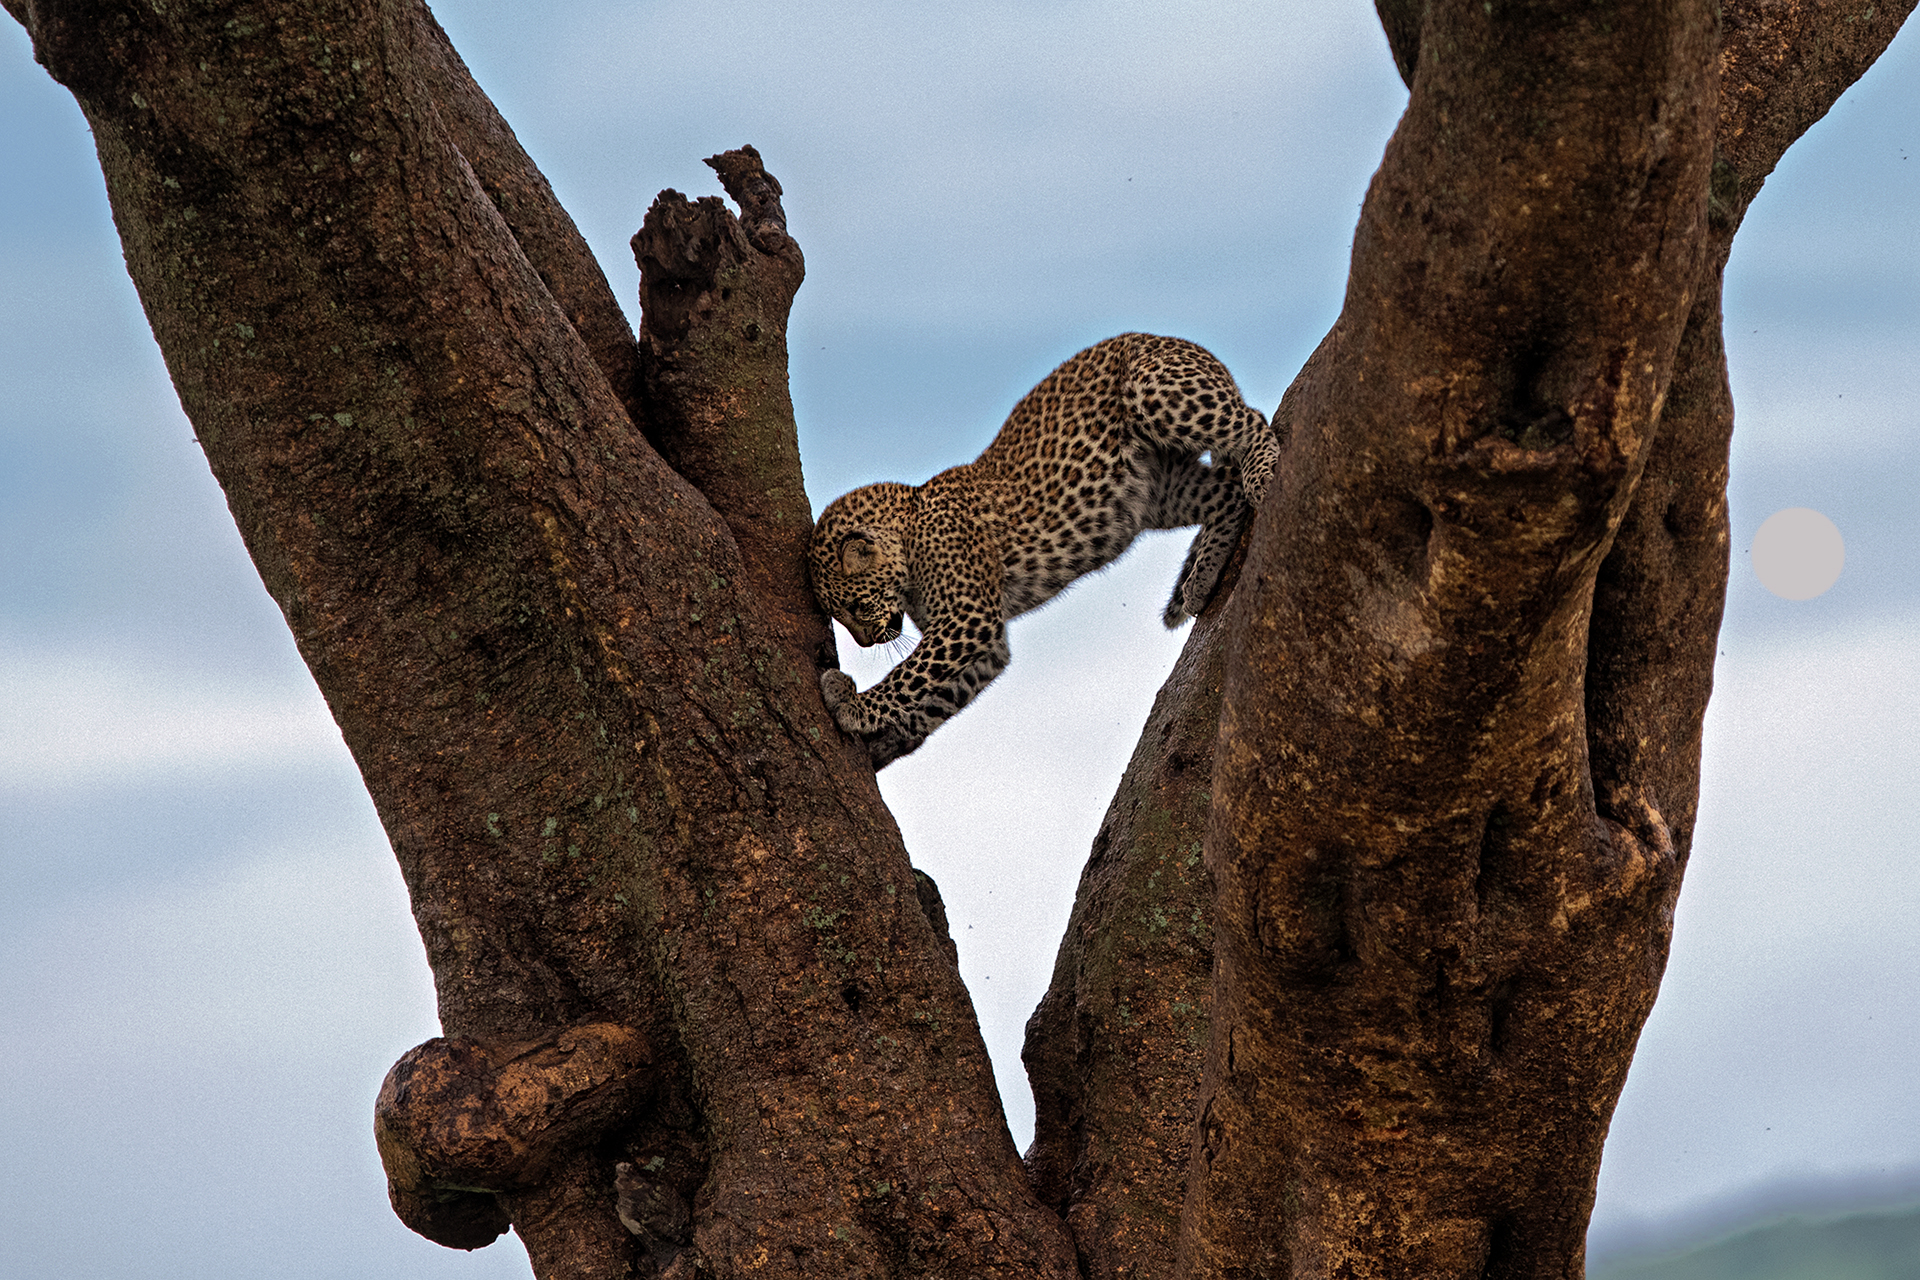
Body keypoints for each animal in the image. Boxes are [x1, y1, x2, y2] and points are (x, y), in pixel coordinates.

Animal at [810, 333, 1278, 768]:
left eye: (854, 606)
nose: (867, 642)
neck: (909, 536)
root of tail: (1174, 339)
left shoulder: (968, 617)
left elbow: (911, 676)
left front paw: (854, 705)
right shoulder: (986, 643)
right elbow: (933, 700)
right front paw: (882, 741)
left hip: (1157, 392)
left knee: (1252, 423)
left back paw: (1263, 476)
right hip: (1158, 492)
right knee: (1225, 493)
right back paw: (1203, 576)